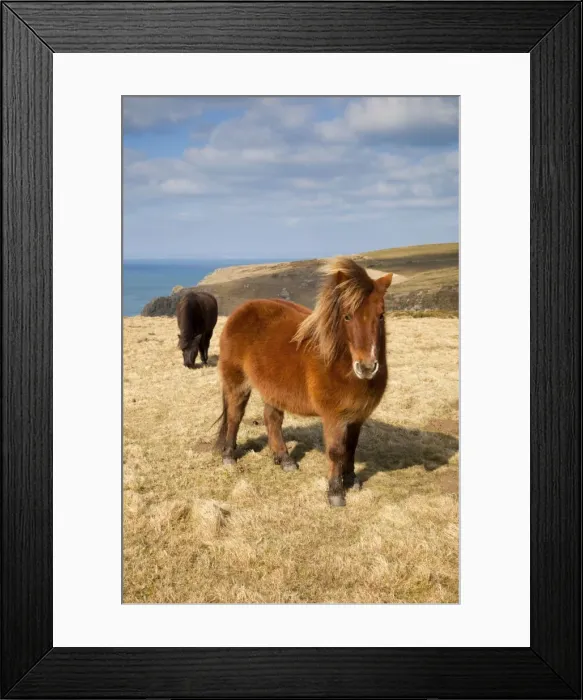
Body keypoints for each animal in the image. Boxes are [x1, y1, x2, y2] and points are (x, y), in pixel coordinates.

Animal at [215, 257, 393, 506]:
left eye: (381, 315)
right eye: (347, 316)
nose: (366, 367)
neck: (339, 363)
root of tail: (240, 311)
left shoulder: (357, 417)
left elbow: (351, 447)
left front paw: (351, 479)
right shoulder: (334, 418)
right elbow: (336, 451)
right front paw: (335, 492)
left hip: (273, 388)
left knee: (272, 419)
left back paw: (284, 459)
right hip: (237, 383)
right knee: (234, 416)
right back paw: (229, 455)